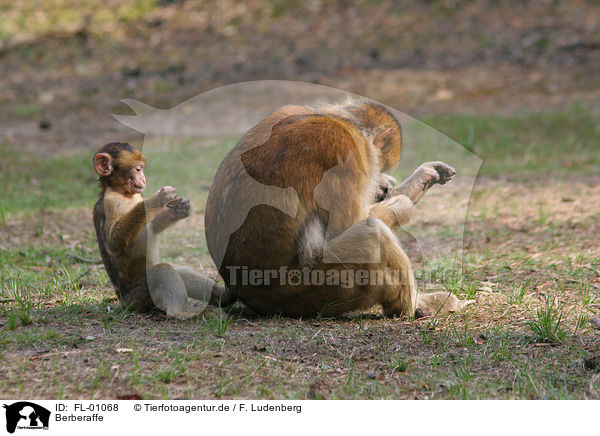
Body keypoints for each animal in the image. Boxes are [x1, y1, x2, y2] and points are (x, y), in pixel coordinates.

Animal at [92, 142, 233, 316]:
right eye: (137, 169)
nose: (143, 178)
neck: (123, 193)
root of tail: (124, 301)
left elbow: (151, 227)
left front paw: (178, 210)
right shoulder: (111, 203)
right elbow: (114, 243)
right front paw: (157, 199)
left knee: (180, 273)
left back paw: (223, 297)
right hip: (138, 298)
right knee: (161, 272)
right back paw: (181, 312)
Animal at [204, 100, 472, 318]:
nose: (383, 183)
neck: (344, 121)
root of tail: (239, 287)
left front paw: (418, 182)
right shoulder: (345, 150)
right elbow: (347, 224)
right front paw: (401, 205)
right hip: (315, 287)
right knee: (371, 234)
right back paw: (411, 307)